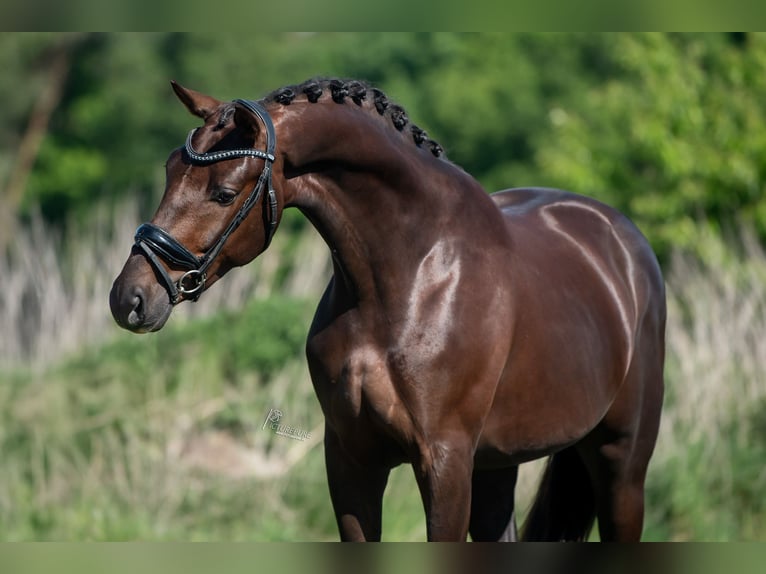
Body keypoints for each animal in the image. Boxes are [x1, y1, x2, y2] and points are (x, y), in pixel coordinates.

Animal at [110, 78, 666, 542]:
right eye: (169, 170)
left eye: (224, 193)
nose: (129, 298)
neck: (407, 279)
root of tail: (623, 242)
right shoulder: (351, 461)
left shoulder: (444, 463)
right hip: (497, 465)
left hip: (621, 465)